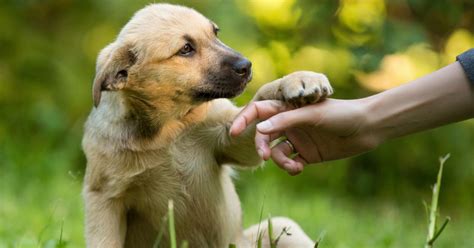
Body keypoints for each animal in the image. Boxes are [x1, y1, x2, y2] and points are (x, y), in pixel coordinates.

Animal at [82, 3, 334, 248]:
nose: (247, 65)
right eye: (186, 49)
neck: (169, 129)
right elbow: (104, 240)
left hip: (285, 228)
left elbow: (260, 99)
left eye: (215, 33)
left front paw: (298, 80)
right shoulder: (104, 197)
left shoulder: (231, 137)